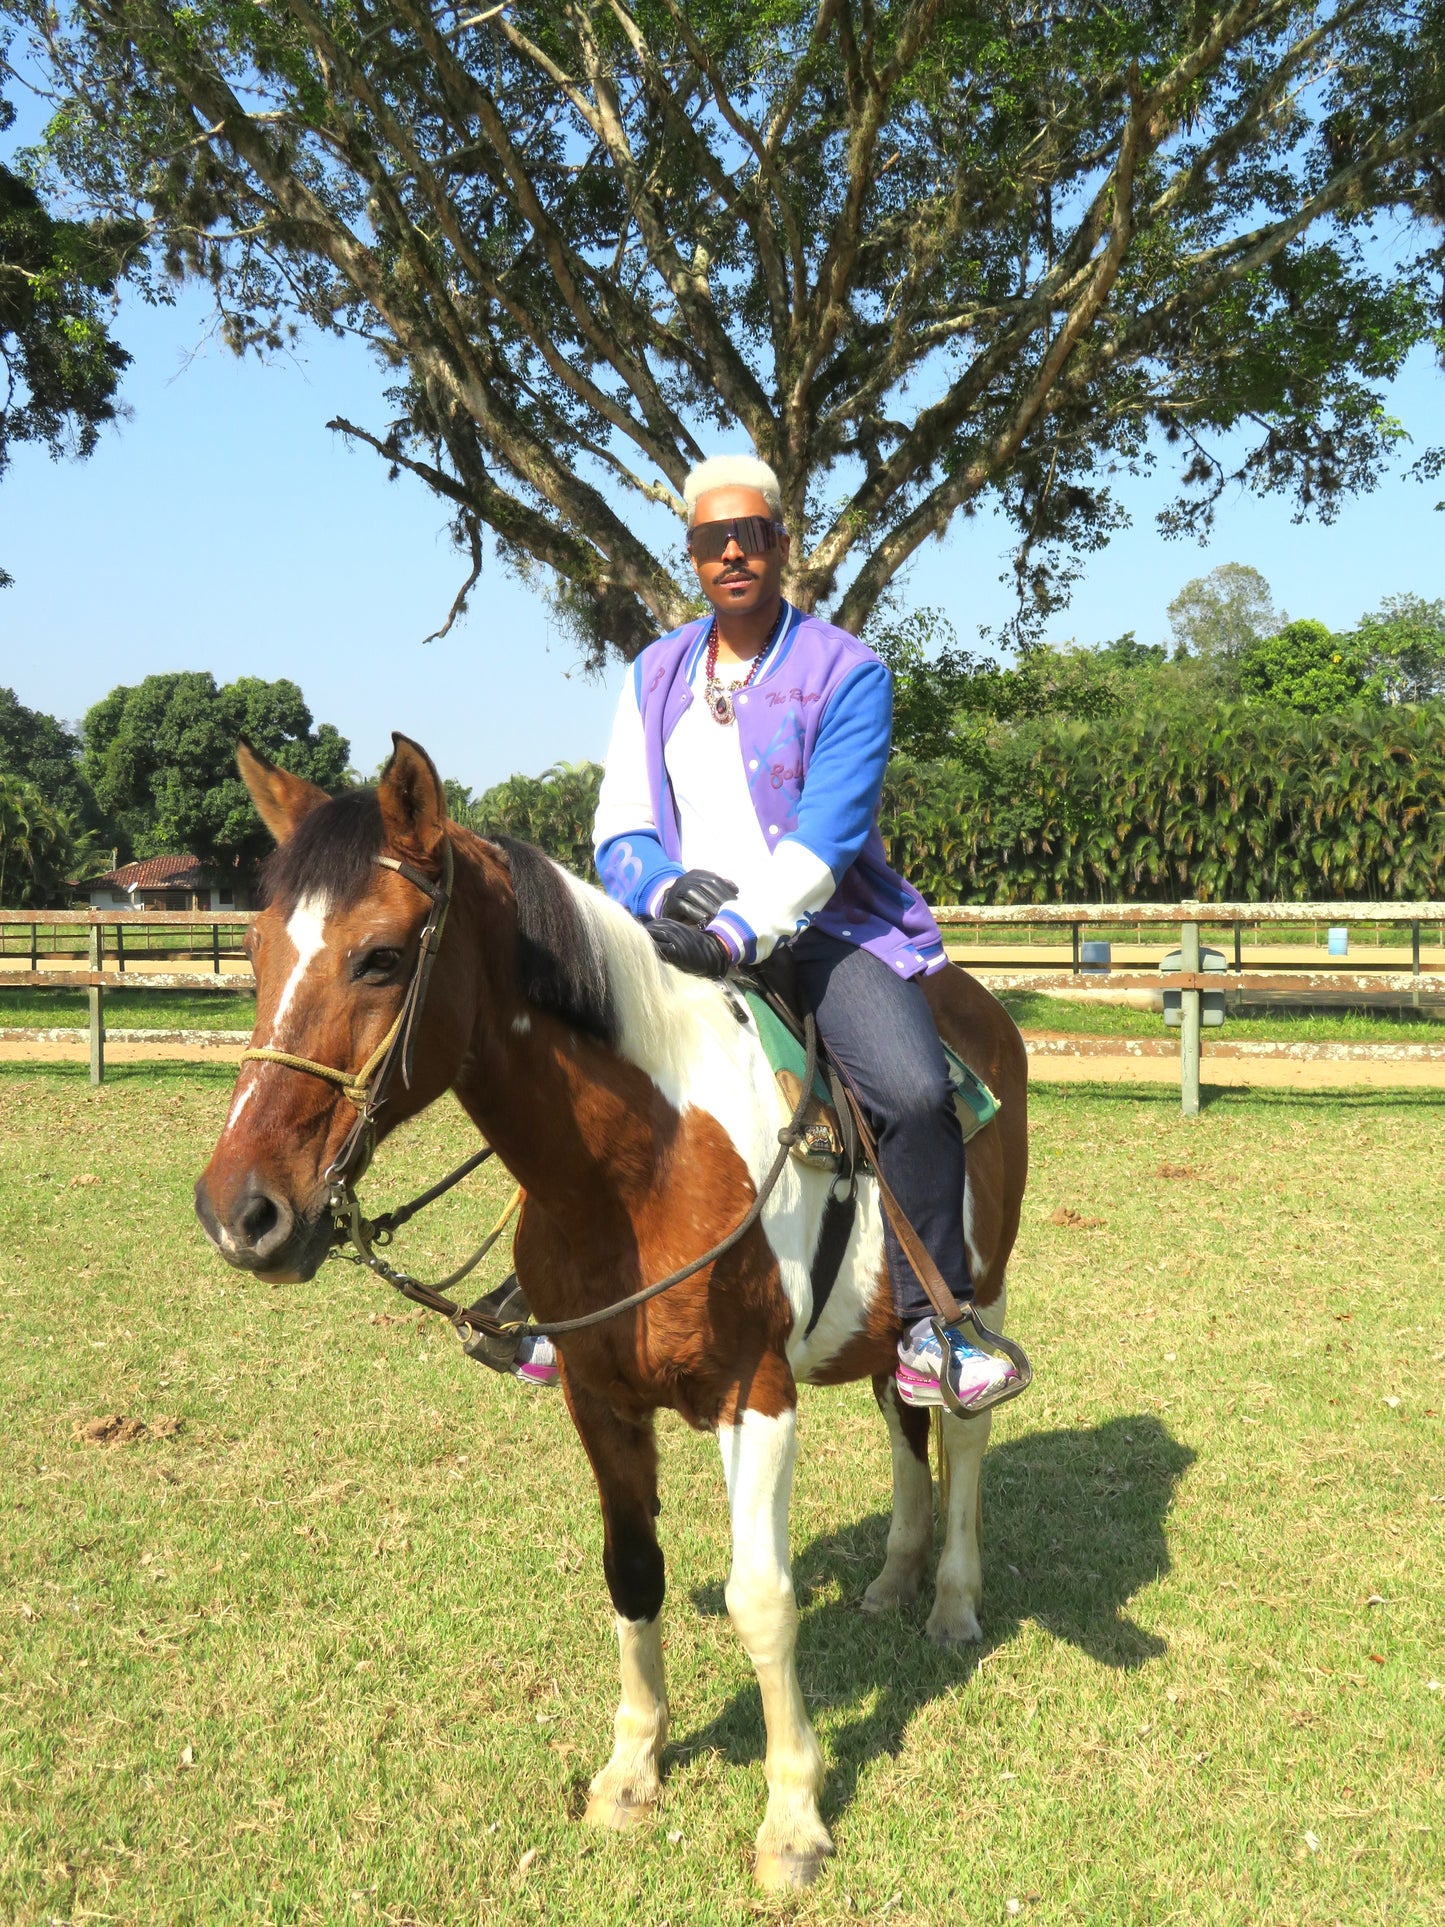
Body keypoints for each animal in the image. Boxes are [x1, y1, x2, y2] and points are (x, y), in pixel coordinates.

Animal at [198, 739, 1032, 1896]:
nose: (240, 1212)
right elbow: (632, 1574)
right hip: (882, 1324)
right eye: (254, 948)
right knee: (903, 1421)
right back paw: (893, 1578)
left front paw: (791, 1818)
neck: (645, 1161)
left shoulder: (755, 1396)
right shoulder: (598, 1397)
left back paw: (950, 1599)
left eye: (379, 957)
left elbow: (761, 1597)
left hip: (975, 1289)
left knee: (960, 1431)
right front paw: (631, 1772)